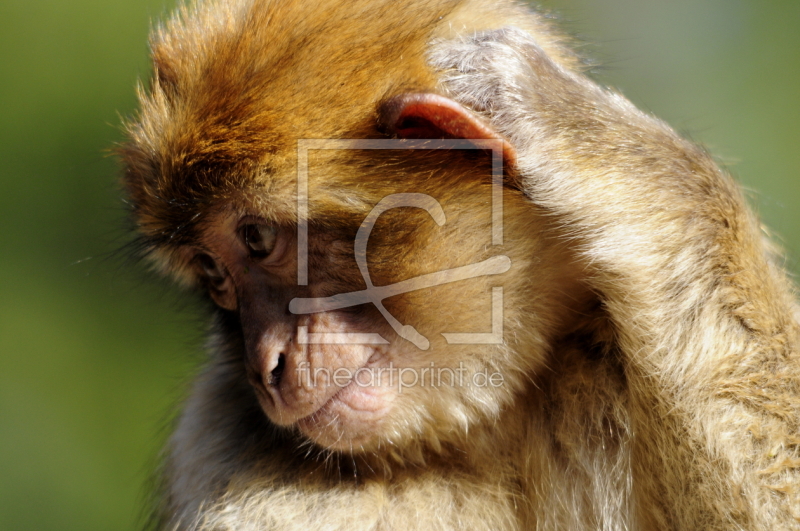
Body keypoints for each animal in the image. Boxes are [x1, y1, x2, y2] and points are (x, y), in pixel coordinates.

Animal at [119, 0, 800, 528]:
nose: (265, 366)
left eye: (257, 239)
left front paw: (585, 131)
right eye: (214, 274)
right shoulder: (223, 440)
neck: (497, 416)